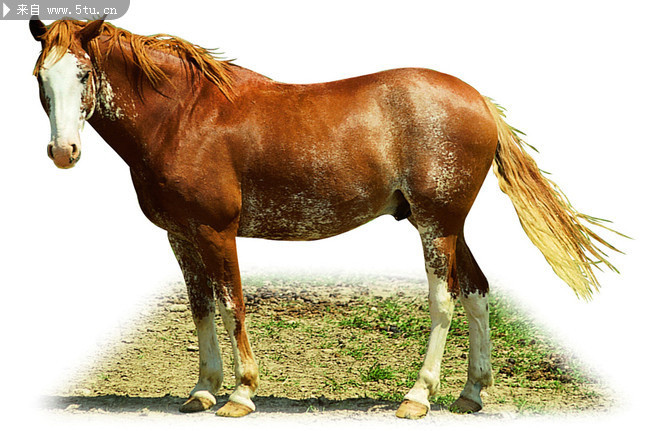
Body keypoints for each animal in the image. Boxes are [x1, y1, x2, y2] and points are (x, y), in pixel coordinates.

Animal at [29, 18, 621, 419]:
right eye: (40, 77)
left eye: (83, 72)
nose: (62, 152)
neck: (183, 116)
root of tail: (478, 101)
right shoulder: (181, 235)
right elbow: (200, 309)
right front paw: (201, 390)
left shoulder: (218, 232)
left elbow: (232, 305)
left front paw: (240, 393)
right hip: (447, 225)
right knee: (476, 290)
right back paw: (470, 393)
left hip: (436, 226)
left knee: (445, 299)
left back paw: (417, 396)